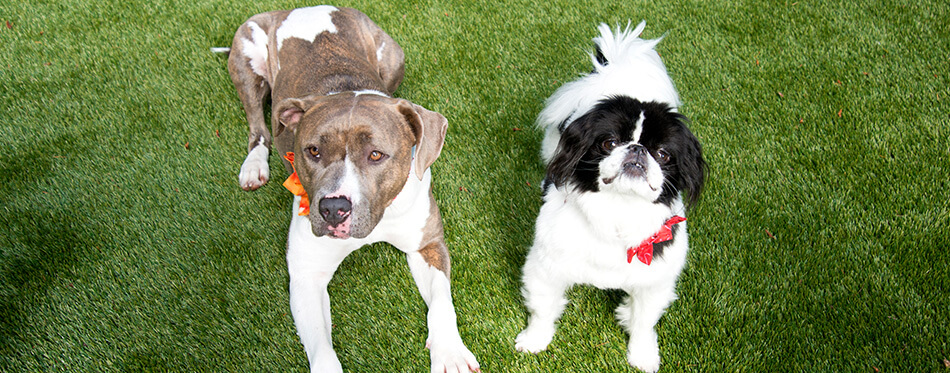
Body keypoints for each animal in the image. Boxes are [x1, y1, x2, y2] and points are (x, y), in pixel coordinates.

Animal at [220, 5, 480, 372]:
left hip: (392, 58)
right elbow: (322, 349)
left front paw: (450, 352)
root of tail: (299, 8)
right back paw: (254, 165)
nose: (333, 209)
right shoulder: (306, 274)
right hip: (246, 54)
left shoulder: (427, 244)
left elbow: (443, 301)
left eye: (376, 155)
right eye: (313, 150)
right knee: (258, 124)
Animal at [512, 21, 708, 370]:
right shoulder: (545, 266)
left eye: (662, 154)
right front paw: (535, 340)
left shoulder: (654, 281)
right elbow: (543, 310)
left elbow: (643, 322)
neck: (618, 208)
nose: (638, 150)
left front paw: (642, 356)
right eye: (609, 143)